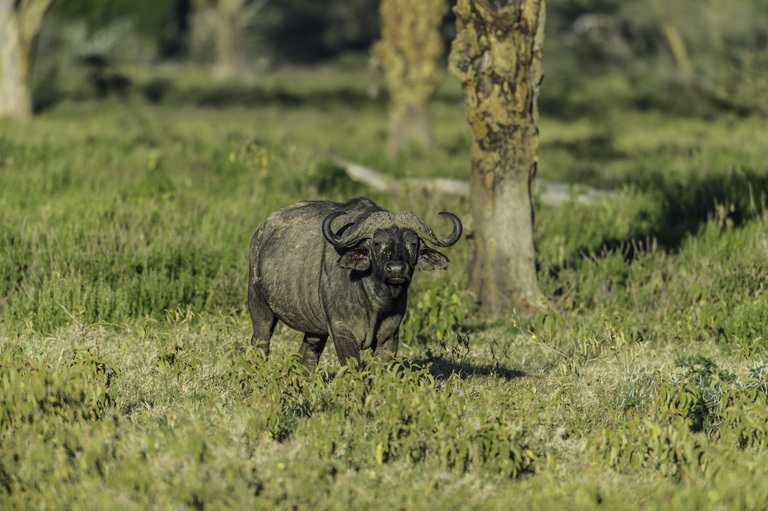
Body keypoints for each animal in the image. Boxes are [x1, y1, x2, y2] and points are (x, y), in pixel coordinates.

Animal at [249, 198, 460, 370]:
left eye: (413, 243)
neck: (374, 302)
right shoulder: (342, 333)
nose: (396, 269)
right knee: (260, 344)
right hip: (260, 308)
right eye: (377, 243)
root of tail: (259, 234)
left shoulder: (390, 336)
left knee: (308, 355)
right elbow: (354, 370)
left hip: (315, 330)